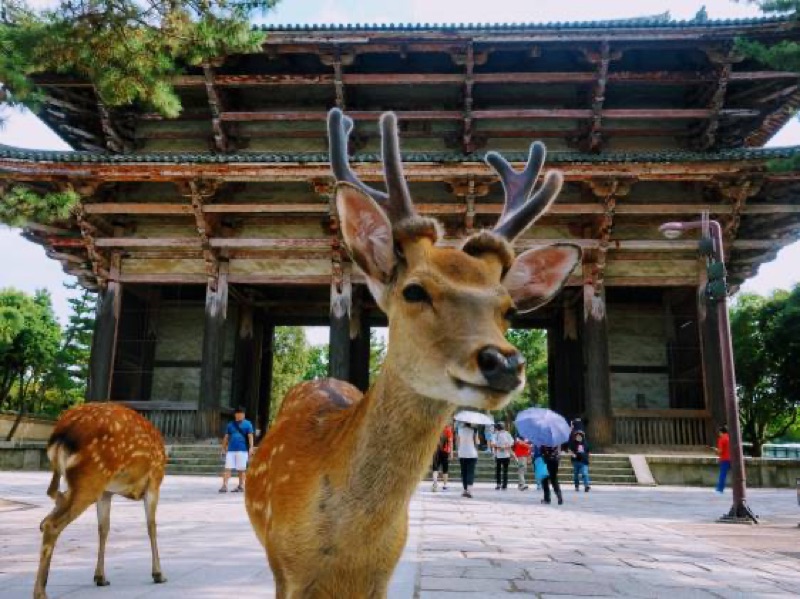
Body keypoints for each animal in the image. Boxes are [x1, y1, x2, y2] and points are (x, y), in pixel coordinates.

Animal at [34, 403, 167, 599]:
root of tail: (62, 434)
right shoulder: (154, 482)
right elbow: (152, 527)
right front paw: (158, 574)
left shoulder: (106, 492)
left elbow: (103, 528)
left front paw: (100, 577)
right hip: (91, 477)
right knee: (52, 523)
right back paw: (40, 592)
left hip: (82, 481)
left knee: (47, 515)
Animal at [244, 108, 581, 598]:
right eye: (414, 290)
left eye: (508, 308)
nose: (503, 362)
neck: (346, 552)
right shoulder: (286, 571)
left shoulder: (382, 577)